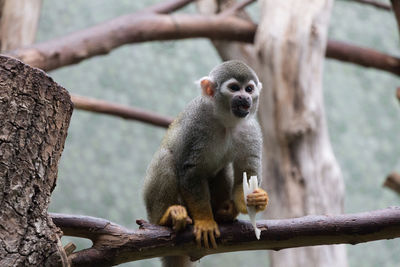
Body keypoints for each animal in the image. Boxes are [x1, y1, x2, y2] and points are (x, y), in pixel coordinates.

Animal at [142, 60, 268, 267]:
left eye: (249, 89)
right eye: (234, 88)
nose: (245, 97)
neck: (225, 122)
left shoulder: (250, 129)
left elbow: (246, 173)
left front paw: (256, 200)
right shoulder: (197, 123)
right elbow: (191, 172)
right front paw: (205, 221)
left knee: (222, 170)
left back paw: (224, 213)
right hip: (153, 213)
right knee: (166, 158)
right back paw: (166, 218)